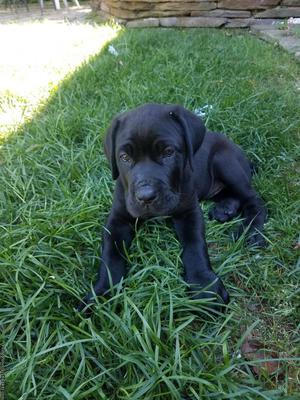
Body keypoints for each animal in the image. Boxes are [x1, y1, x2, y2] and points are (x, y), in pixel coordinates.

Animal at [78, 103, 266, 310]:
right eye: (124, 157)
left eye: (168, 152)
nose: (146, 197)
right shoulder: (118, 219)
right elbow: (110, 255)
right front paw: (101, 294)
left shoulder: (189, 212)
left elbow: (195, 246)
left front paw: (204, 287)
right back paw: (225, 209)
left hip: (225, 161)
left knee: (254, 201)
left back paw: (251, 233)